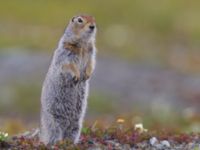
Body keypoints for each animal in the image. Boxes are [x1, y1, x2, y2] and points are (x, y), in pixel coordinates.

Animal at [39, 14, 97, 145]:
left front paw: (87, 75)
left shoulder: (91, 51)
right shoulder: (66, 51)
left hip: (76, 124)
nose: (92, 26)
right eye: (80, 20)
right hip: (53, 122)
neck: (82, 43)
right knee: (54, 135)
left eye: (93, 18)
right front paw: (77, 76)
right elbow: (68, 64)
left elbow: (91, 63)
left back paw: (70, 143)